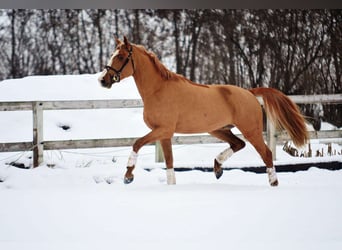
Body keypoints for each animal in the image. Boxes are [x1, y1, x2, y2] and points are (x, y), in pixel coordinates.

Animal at [97, 36, 308, 187]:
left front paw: (128, 176)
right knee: (238, 144)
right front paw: (171, 186)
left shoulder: (162, 130)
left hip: (251, 130)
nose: (103, 80)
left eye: (121, 57)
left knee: (266, 153)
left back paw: (273, 182)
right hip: (217, 129)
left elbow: (137, 143)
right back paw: (217, 168)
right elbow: (169, 162)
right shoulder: (164, 135)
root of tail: (249, 92)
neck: (158, 90)